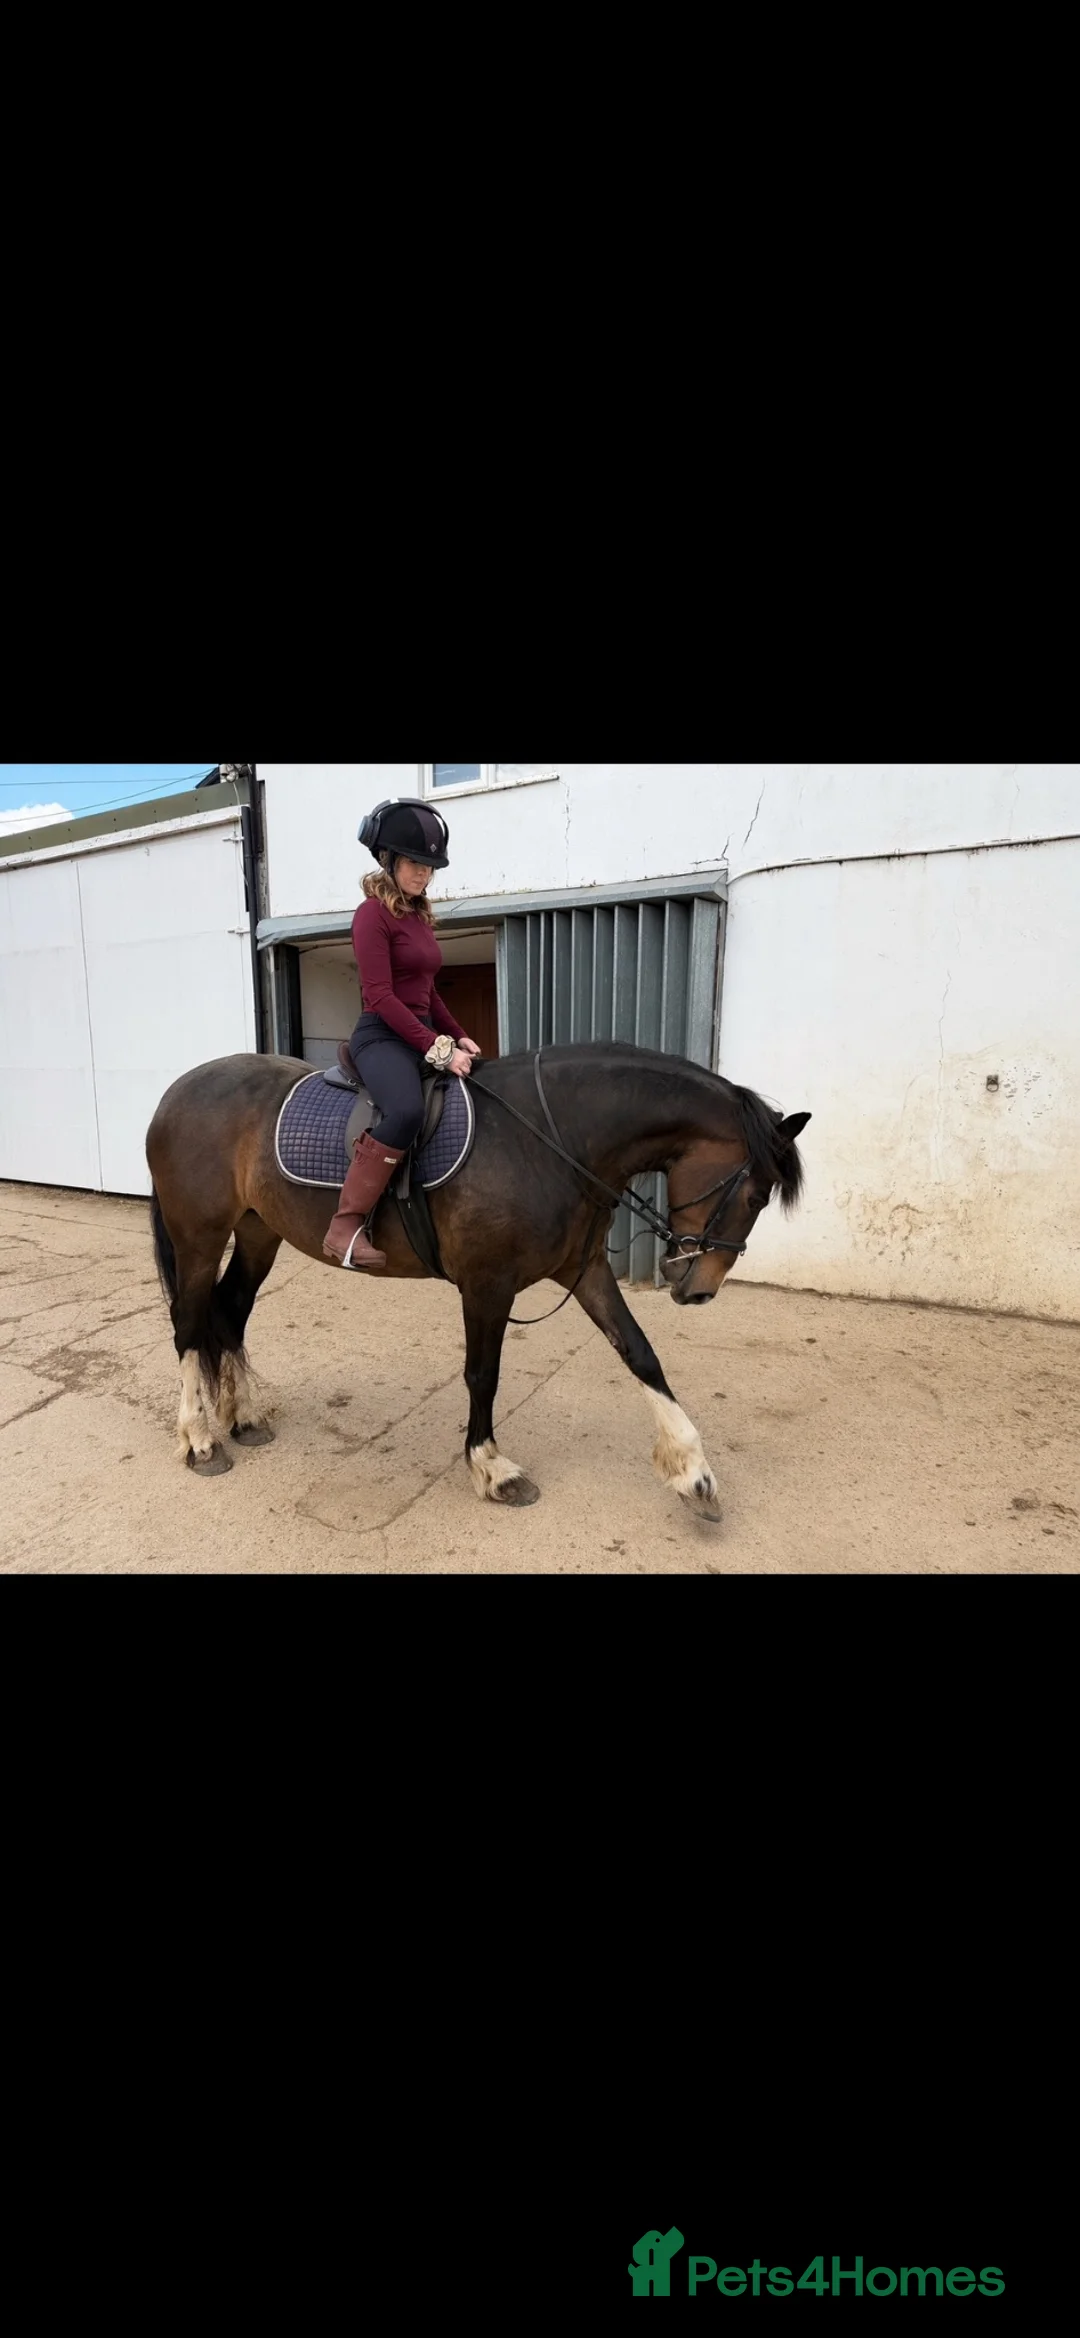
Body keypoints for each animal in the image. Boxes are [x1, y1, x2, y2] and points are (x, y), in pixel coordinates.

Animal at [145, 1043, 810, 1524]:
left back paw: (243, 1417)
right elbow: (483, 1375)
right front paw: (492, 1469)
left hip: (259, 1232)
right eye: (755, 1194)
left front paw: (693, 1473)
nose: (698, 1288)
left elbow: (640, 1354)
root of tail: (177, 1091)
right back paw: (200, 1440)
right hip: (199, 1237)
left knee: (230, 1312)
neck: (552, 1138)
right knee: (189, 1325)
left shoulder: (584, 1270)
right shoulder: (488, 1285)